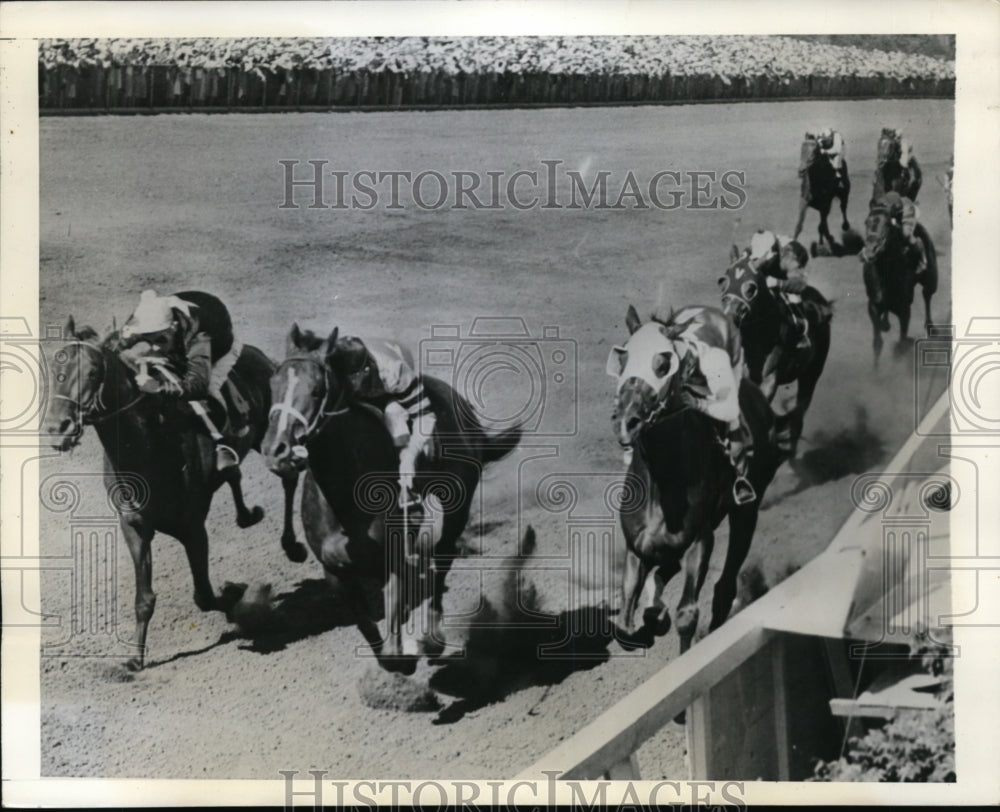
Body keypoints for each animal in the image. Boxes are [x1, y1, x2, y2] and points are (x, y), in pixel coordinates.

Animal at [46, 318, 304, 672]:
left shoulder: (193, 527)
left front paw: (238, 598)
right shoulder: (134, 525)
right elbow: (145, 598)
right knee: (234, 474)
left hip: (270, 436)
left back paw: (293, 546)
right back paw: (246, 513)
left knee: (289, 478)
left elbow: (204, 596)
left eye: (94, 371)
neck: (148, 447)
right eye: (55, 366)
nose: (58, 427)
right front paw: (135, 658)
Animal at [262, 324, 520, 672]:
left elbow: (395, 635)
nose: (276, 450)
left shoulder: (393, 560)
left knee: (442, 562)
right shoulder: (337, 573)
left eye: (316, 391)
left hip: (456, 508)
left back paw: (433, 638)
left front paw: (410, 652)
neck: (343, 499)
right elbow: (370, 632)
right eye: (273, 385)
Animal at [604, 306, 776, 652]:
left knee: (724, 587)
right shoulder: (636, 548)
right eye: (623, 358)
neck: (662, 481)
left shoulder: (700, 540)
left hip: (746, 511)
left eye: (663, 364)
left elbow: (687, 614)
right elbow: (625, 628)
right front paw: (652, 616)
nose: (626, 420)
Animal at [724, 249, 832, 456]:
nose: (730, 315)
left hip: (812, 373)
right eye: (723, 281)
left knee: (799, 414)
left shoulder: (770, 379)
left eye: (751, 288)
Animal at [860, 200, 936, 364]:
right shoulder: (873, 305)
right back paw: (886, 323)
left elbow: (902, 342)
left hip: (931, 280)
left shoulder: (904, 308)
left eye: (888, 224)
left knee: (927, 295)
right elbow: (877, 343)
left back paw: (930, 327)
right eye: (866, 222)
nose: (870, 251)